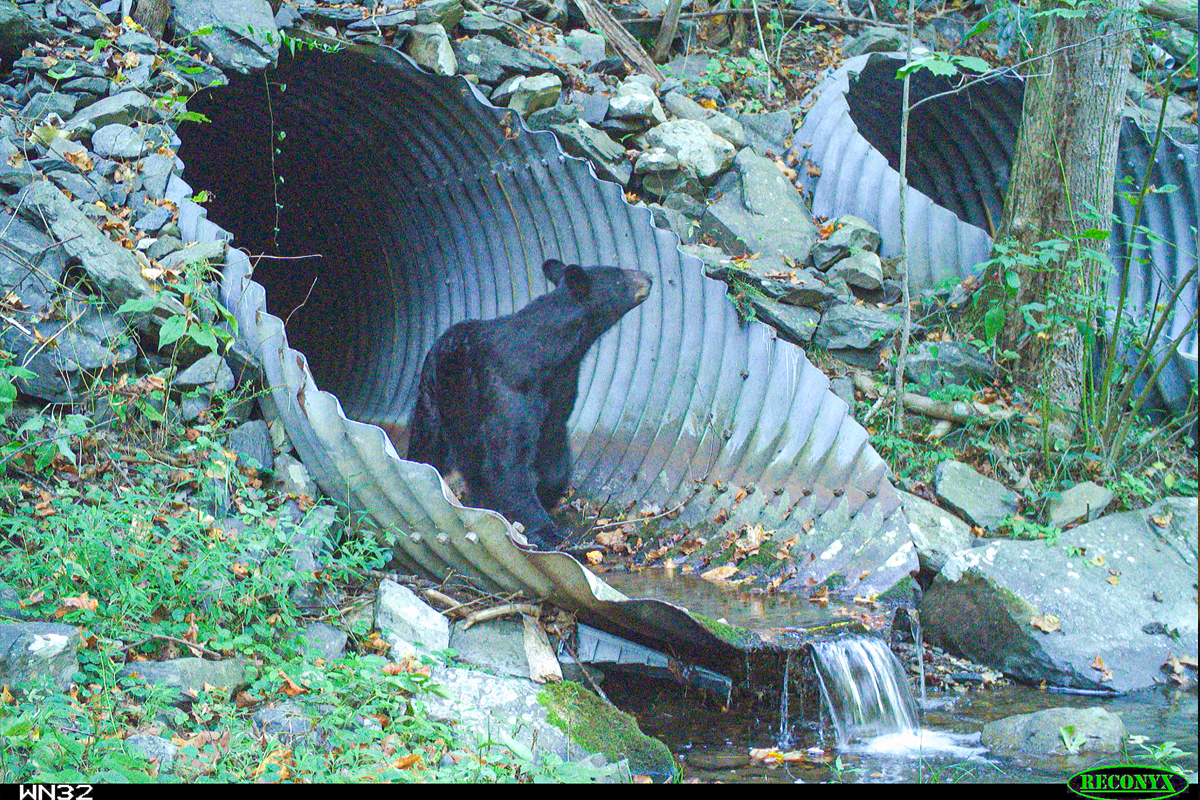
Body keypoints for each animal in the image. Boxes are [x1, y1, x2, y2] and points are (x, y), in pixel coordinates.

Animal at [408, 260, 652, 546]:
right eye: (619, 276)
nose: (649, 277)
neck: (550, 356)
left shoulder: (559, 392)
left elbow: (553, 449)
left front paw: (547, 492)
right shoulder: (509, 393)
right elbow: (508, 460)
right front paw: (544, 530)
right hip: (436, 396)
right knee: (429, 442)